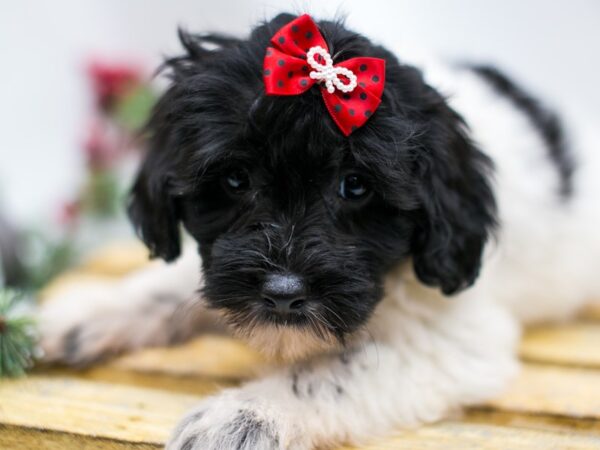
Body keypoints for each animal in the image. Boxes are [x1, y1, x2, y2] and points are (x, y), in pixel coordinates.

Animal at [38, 12, 600, 448]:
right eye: (236, 179)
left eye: (355, 186)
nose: (284, 293)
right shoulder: (224, 261)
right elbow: (168, 286)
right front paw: (77, 315)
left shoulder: (454, 339)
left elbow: (327, 376)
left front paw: (241, 417)